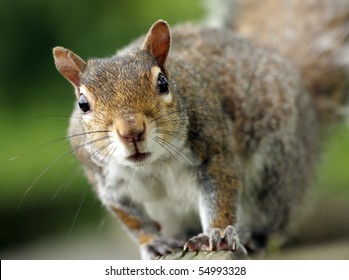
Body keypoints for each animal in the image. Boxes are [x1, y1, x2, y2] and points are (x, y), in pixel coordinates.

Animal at [51, 0, 348, 260]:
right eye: (83, 103)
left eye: (163, 83)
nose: (131, 131)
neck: (154, 164)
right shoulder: (108, 184)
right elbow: (133, 220)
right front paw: (153, 242)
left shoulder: (214, 151)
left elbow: (221, 195)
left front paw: (217, 234)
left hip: (275, 171)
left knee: (273, 220)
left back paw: (252, 235)